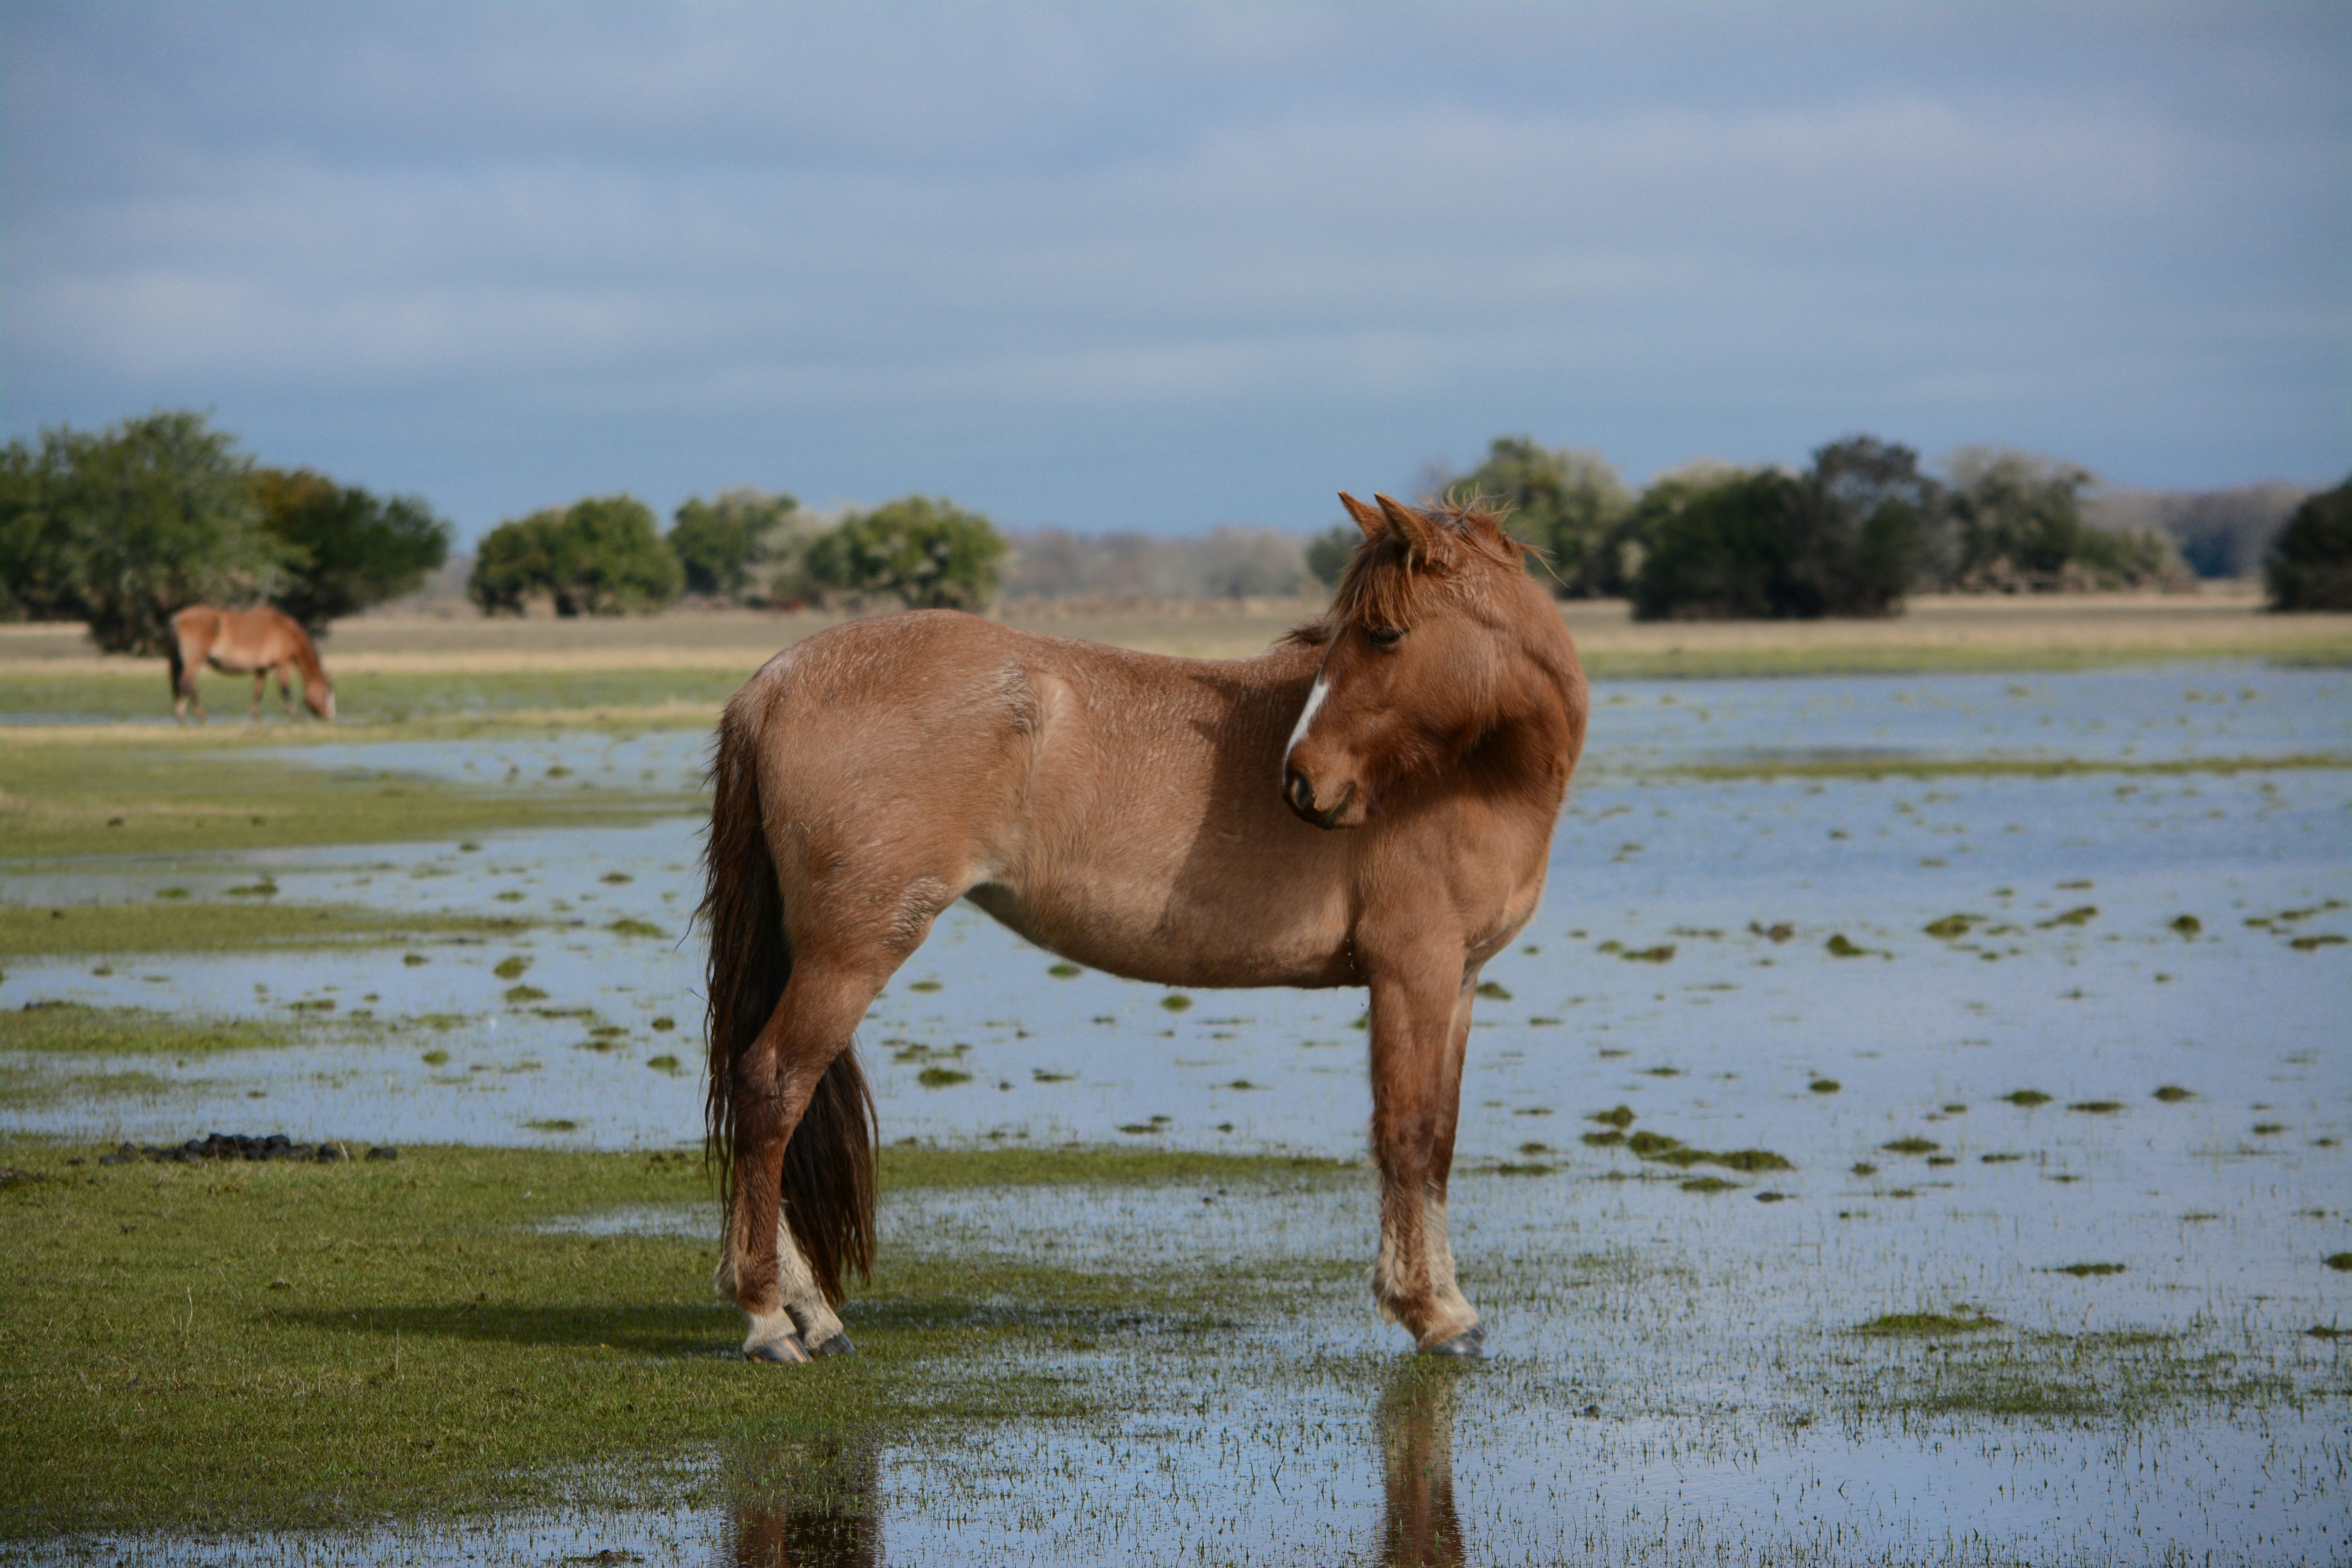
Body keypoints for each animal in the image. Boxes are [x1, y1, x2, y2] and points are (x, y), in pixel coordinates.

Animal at [167, 605, 335, 725]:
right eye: (326, 694)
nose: (330, 718)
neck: (285, 629)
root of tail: (179, 619)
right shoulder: (282, 665)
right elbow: (285, 691)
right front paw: (296, 717)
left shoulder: (261, 670)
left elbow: (258, 693)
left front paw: (256, 717)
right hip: (195, 661)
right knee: (187, 684)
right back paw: (192, 717)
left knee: (187, 686)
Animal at [701, 492, 1587, 1363]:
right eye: (1360, 632)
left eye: (1384, 634)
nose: (1304, 782)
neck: (1470, 773)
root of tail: (776, 682)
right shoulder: (1412, 969)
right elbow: (1407, 1134)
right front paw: (1428, 1312)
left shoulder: (1459, 979)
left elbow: (1440, 1142)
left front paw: (1452, 1305)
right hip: (849, 954)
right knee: (771, 1089)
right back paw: (771, 1318)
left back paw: (811, 1313)